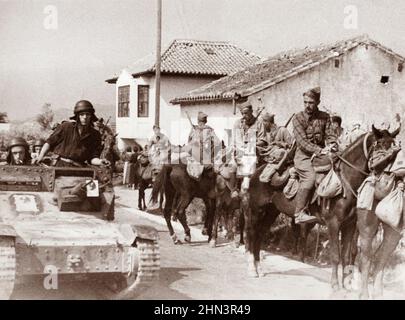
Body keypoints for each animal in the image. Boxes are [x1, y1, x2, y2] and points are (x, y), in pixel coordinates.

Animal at [243, 125, 398, 290]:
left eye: (394, 152)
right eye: (380, 145)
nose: (386, 183)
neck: (345, 180)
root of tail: (256, 173)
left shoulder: (349, 225)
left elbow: (346, 255)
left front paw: (346, 285)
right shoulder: (333, 223)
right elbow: (335, 255)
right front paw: (335, 285)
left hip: (271, 212)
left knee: (260, 234)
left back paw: (259, 268)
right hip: (256, 210)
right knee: (252, 233)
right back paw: (252, 269)